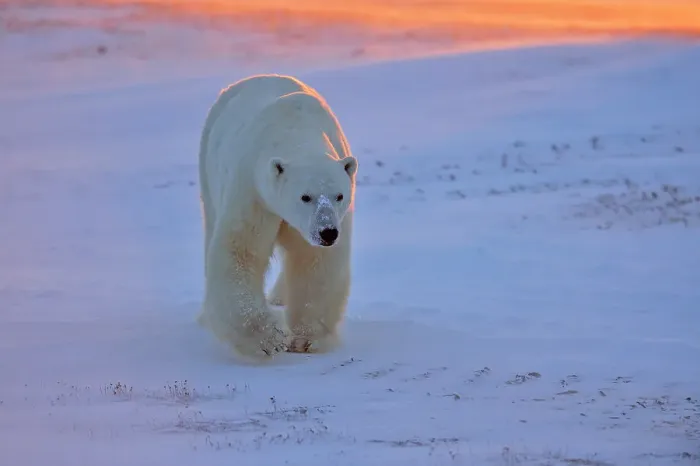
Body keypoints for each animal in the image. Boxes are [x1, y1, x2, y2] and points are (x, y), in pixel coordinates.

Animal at [196, 74, 358, 361]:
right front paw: (268, 340)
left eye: (339, 195)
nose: (328, 232)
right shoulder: (253, 190)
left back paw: (279, 298)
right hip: (208, 165)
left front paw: (305, 338)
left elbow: (315, 261)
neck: (294, 128)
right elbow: (240, 252)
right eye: (305, 196)